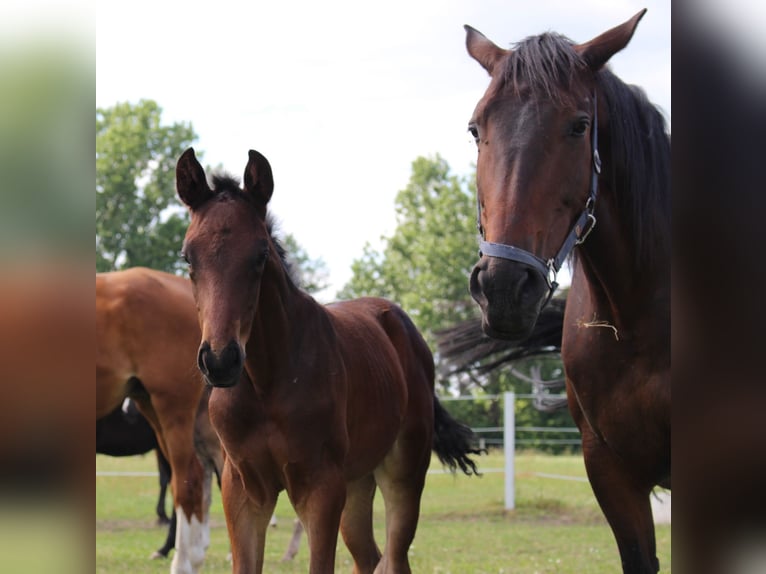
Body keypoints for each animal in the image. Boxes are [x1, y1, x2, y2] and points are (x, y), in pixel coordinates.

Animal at [177, 146, 484, 572]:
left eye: (260, 255)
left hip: (402, 472)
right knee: (369, 557)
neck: (267, 381)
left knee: (395, 556)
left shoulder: (320, 488)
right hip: (357, 482)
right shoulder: (242, 489)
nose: (220, 360)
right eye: (189, 258)